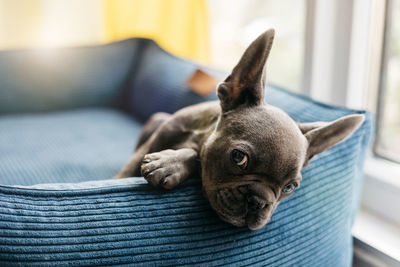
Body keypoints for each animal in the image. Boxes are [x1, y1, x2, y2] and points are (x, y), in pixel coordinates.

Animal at [114, 28, 364, 230]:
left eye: (290, 187)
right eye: (238, 158)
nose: (259, 201)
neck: (198, 135)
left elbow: (196, 155)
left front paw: (170, 164)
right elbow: (128, 171)